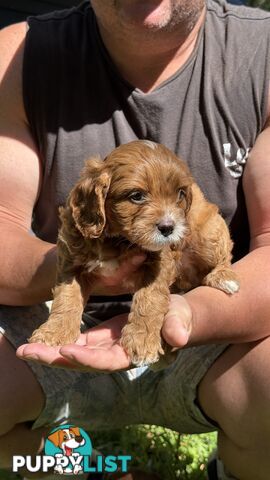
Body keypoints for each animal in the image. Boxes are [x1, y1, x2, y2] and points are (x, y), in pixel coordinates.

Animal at [29, 141, 238, 366]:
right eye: (137, 196)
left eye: (180, 194)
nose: (168, 228)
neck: (118, 239)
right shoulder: (70, 260)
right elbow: (67, 297)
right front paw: (54, 333)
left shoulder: (160, 261)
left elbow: (150, 298)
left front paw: (142, 340)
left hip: (209, 231)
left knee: (223, 254)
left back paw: (224, 277)